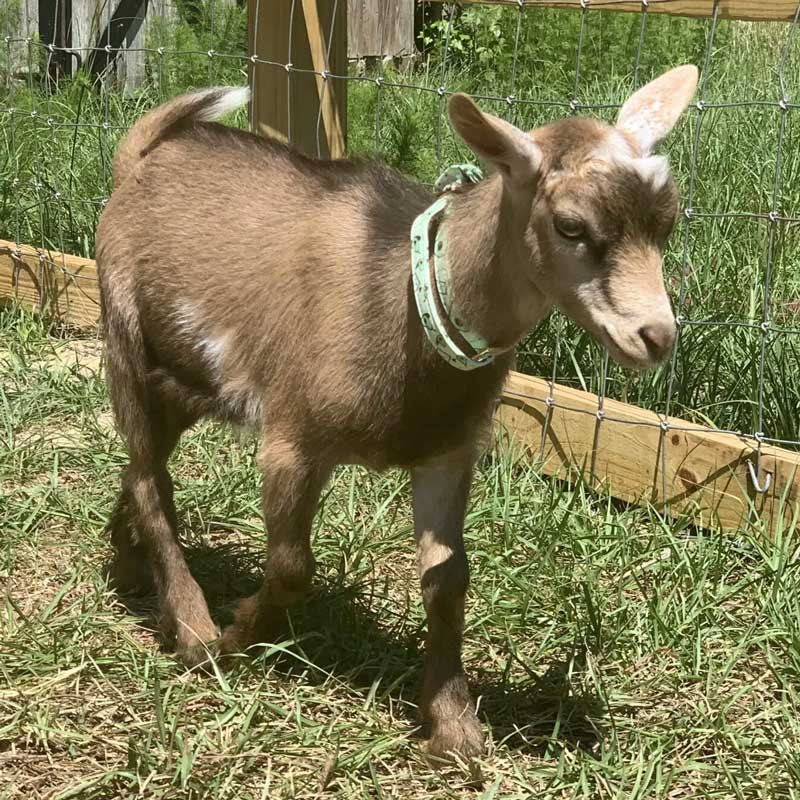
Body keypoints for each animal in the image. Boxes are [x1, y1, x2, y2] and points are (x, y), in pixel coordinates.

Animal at [96, 64, 698, 759]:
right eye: (571, 226)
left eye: (667, 223)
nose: (656, 337)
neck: (407, 295)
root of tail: (140, 157)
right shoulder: (293, 440)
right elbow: (292, 565)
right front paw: (235, 637)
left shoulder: (447, 451)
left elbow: (448, 577)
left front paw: (454, 723)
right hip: (125, 338)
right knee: (150, 477)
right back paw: (191, 627)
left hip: (184, 380)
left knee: (141, 468)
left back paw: (130, 568)